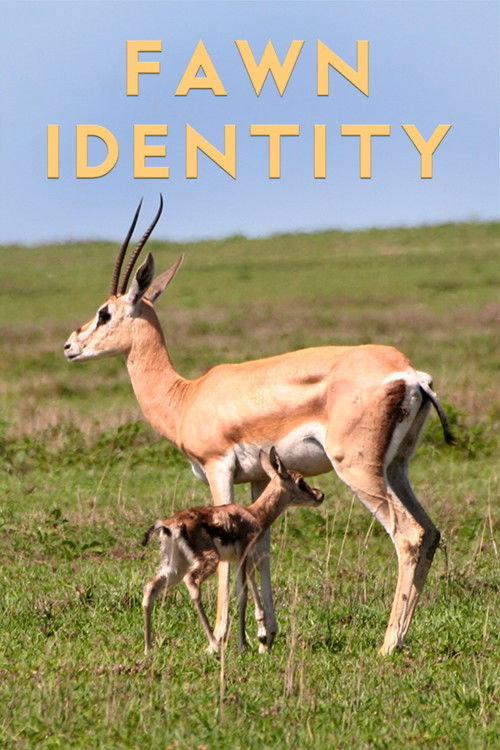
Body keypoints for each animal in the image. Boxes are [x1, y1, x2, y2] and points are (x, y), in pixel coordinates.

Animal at [141, 447, 324, 655]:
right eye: (301, 482)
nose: (320, 495)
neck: (254, 515)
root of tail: (168, 525)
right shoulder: (243, 556)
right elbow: (242, 596)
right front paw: (243, 645)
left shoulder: (240, 560)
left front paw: (261, 638)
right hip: (207, 561)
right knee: (191, 581)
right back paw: (214, 645)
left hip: (175, 566)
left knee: (150, 586)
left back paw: (148, 648)